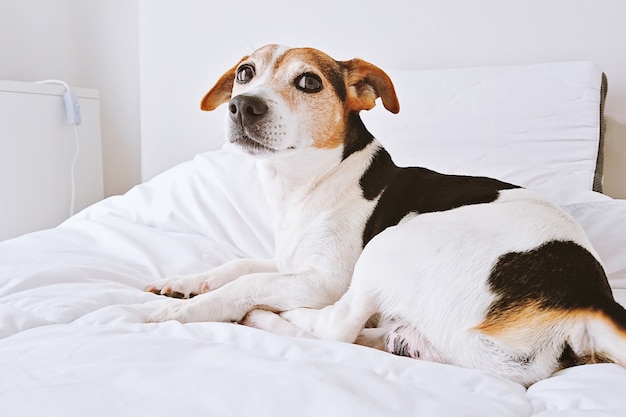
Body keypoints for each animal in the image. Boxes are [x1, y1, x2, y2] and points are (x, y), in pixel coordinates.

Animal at [146, 44, 624, 386]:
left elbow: (247, 284)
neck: (312, 182)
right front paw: (186, 283)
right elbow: (238, 265)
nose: (243, 104)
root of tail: (585, 301)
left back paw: (267, 317)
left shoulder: (323, 280)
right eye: (245, 73)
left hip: (388, 244)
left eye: (309, 81)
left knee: (336, 326)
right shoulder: (288, 261)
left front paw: (182, 313)